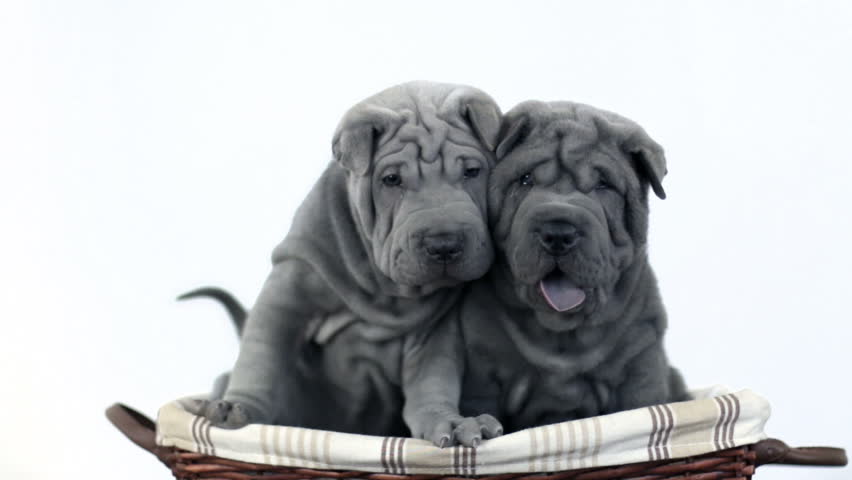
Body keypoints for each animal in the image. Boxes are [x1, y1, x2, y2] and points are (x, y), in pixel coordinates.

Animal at [193, 80, 506, 444]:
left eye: (472, 171)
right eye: (391, 179)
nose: (444, 244)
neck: (384, 289)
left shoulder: (435, 332)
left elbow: (432, 383)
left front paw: (451, 422)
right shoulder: (288, 289)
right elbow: (261, 357)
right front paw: (237, 407)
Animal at [416, 100, 688, 436]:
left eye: (604, 185)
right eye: (525, 180)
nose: (558, 232)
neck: (562, 334)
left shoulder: (641, 368)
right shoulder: (483, 375)